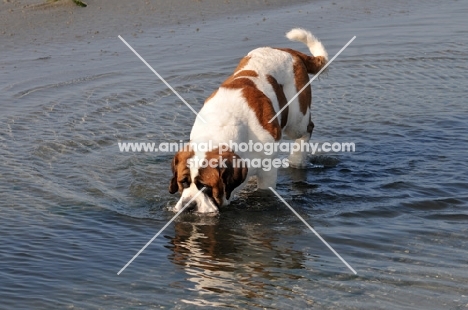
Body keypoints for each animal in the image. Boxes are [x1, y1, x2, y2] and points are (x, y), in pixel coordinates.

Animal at [169, 28, 330, 213]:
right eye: (183, 183)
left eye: (205, 187)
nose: (188, 205)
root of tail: (287, 51)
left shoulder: (268, 170)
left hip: (297, 119)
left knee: (306, 130)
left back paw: (297, 159)